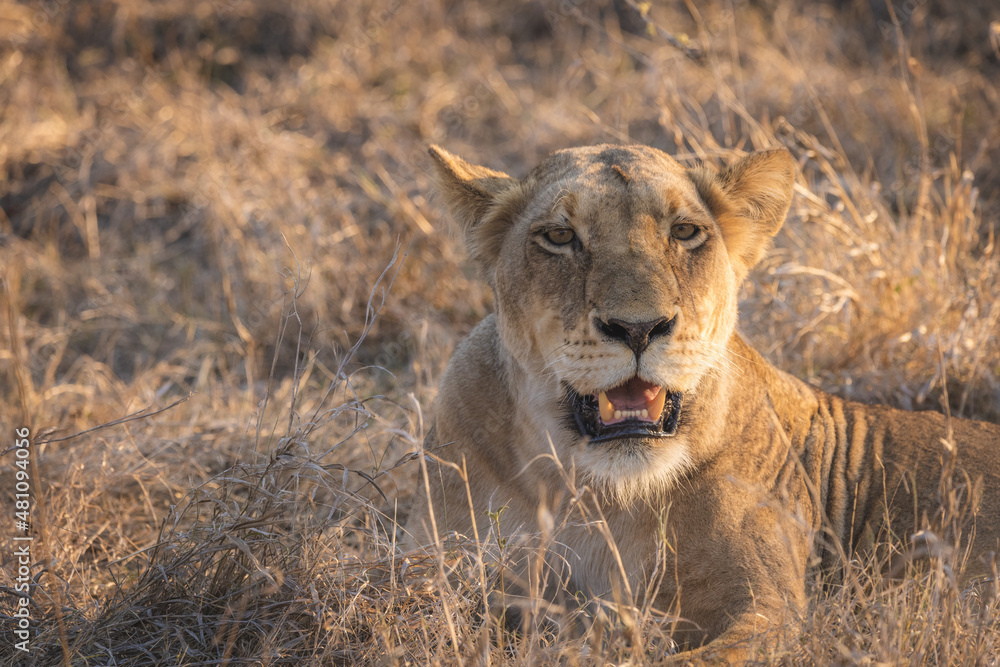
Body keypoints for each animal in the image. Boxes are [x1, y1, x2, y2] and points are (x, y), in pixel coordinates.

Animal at [404, 142, 1000, 661]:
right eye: (559, 236)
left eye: (685, 232)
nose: (638, 328)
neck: (594, 496)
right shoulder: (430, 559)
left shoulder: (770, 610)